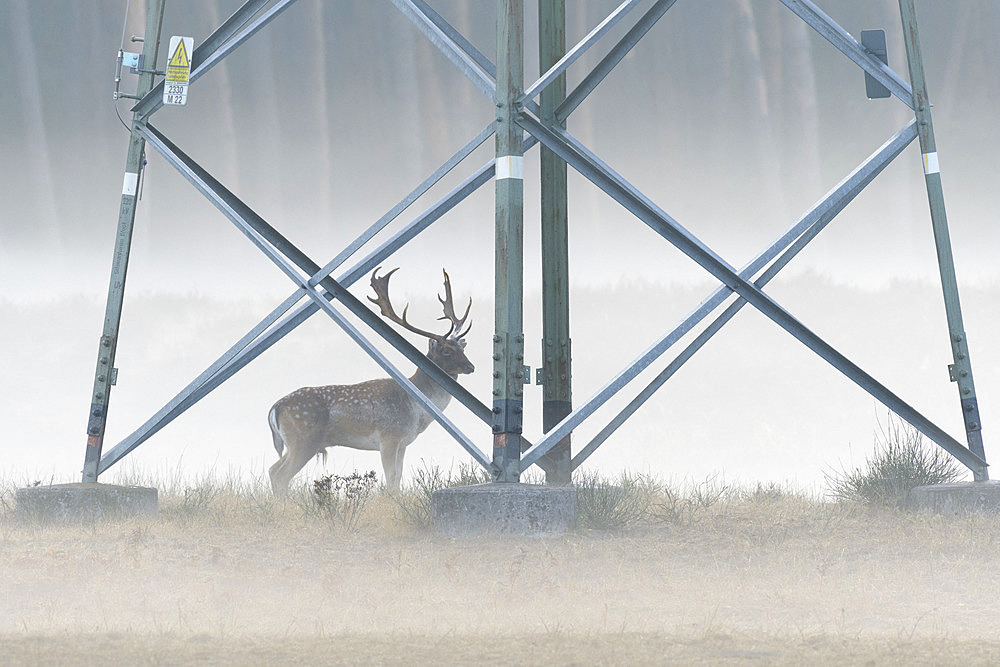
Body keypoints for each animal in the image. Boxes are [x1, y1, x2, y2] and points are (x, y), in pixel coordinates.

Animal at [268, 270, 474, 496]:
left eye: (461, 348)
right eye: (446, 351)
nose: (471, 367)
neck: (416, 410)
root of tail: (275, 407)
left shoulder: (403, 443)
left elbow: (398, 478)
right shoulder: (389, 437)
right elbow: (390, 477)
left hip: (293, 444)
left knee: (272, 469)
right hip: (303, 439)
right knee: (281, 475)